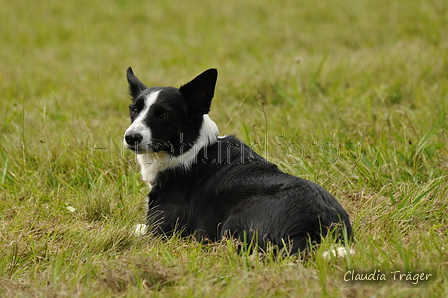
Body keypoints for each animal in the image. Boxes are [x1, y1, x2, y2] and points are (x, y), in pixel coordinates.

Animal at [124, 67, 352, 254]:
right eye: (134, 110)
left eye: (164, 114)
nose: (130, 137)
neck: (191, 149)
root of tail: (318, 225)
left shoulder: (159, 229)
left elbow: (135, 228)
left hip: (232, 225)